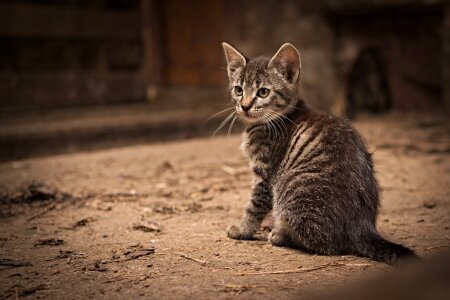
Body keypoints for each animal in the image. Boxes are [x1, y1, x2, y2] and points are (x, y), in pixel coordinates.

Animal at [221, 41, 418, 266]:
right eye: (238, 90)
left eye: (263, 92)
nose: (244, 106)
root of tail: (361, 226)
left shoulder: (265, 174)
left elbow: (254, 205)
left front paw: (241, 229)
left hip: (290, 189)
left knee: (324, 243)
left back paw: (280, 235)